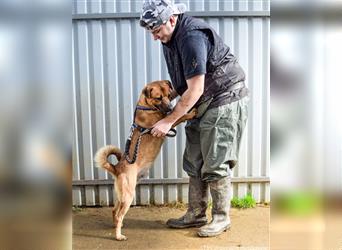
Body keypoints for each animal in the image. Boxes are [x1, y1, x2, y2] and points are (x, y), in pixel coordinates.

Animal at [95, 80, 196, 240]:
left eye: (169, 95)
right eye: (158, 98)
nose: (170, 108)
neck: (146, 106)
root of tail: (116, 168)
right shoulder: (165, 124)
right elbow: (180, 117)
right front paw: (191, 113)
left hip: (121, 195)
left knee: (114, 212)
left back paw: (117, 226)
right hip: (128, 196)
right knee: (119, 214)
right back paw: (118, 235)